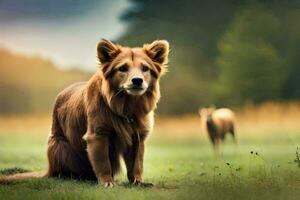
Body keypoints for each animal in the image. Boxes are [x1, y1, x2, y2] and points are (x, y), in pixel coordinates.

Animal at [0, 38, 169, 186]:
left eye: (145, 68)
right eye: (122, 68)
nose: (137, 81)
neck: (126, 105)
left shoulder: (137, 136)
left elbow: (137, 163)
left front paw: (138, 182)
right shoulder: (97, 135)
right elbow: (103, 162)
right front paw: (107, 182)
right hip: (60, 145)